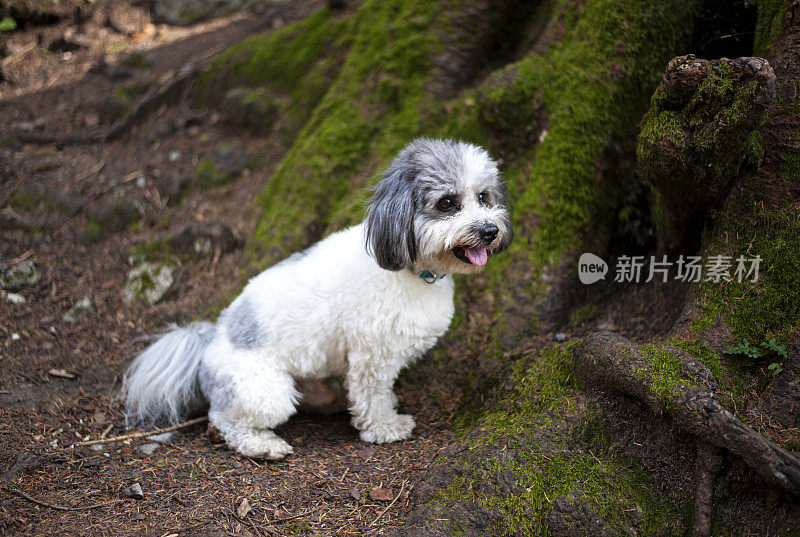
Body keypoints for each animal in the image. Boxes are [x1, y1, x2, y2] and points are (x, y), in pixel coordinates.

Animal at [125, 137, 512, 456]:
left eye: (483, 197)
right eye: (447, 203)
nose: (489, 230)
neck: (409, 269)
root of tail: (211, 341)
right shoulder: (372, 354)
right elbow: (372, 395)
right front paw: (386, 427)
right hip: (264, 391)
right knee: (226, 421)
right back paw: (263, 446)